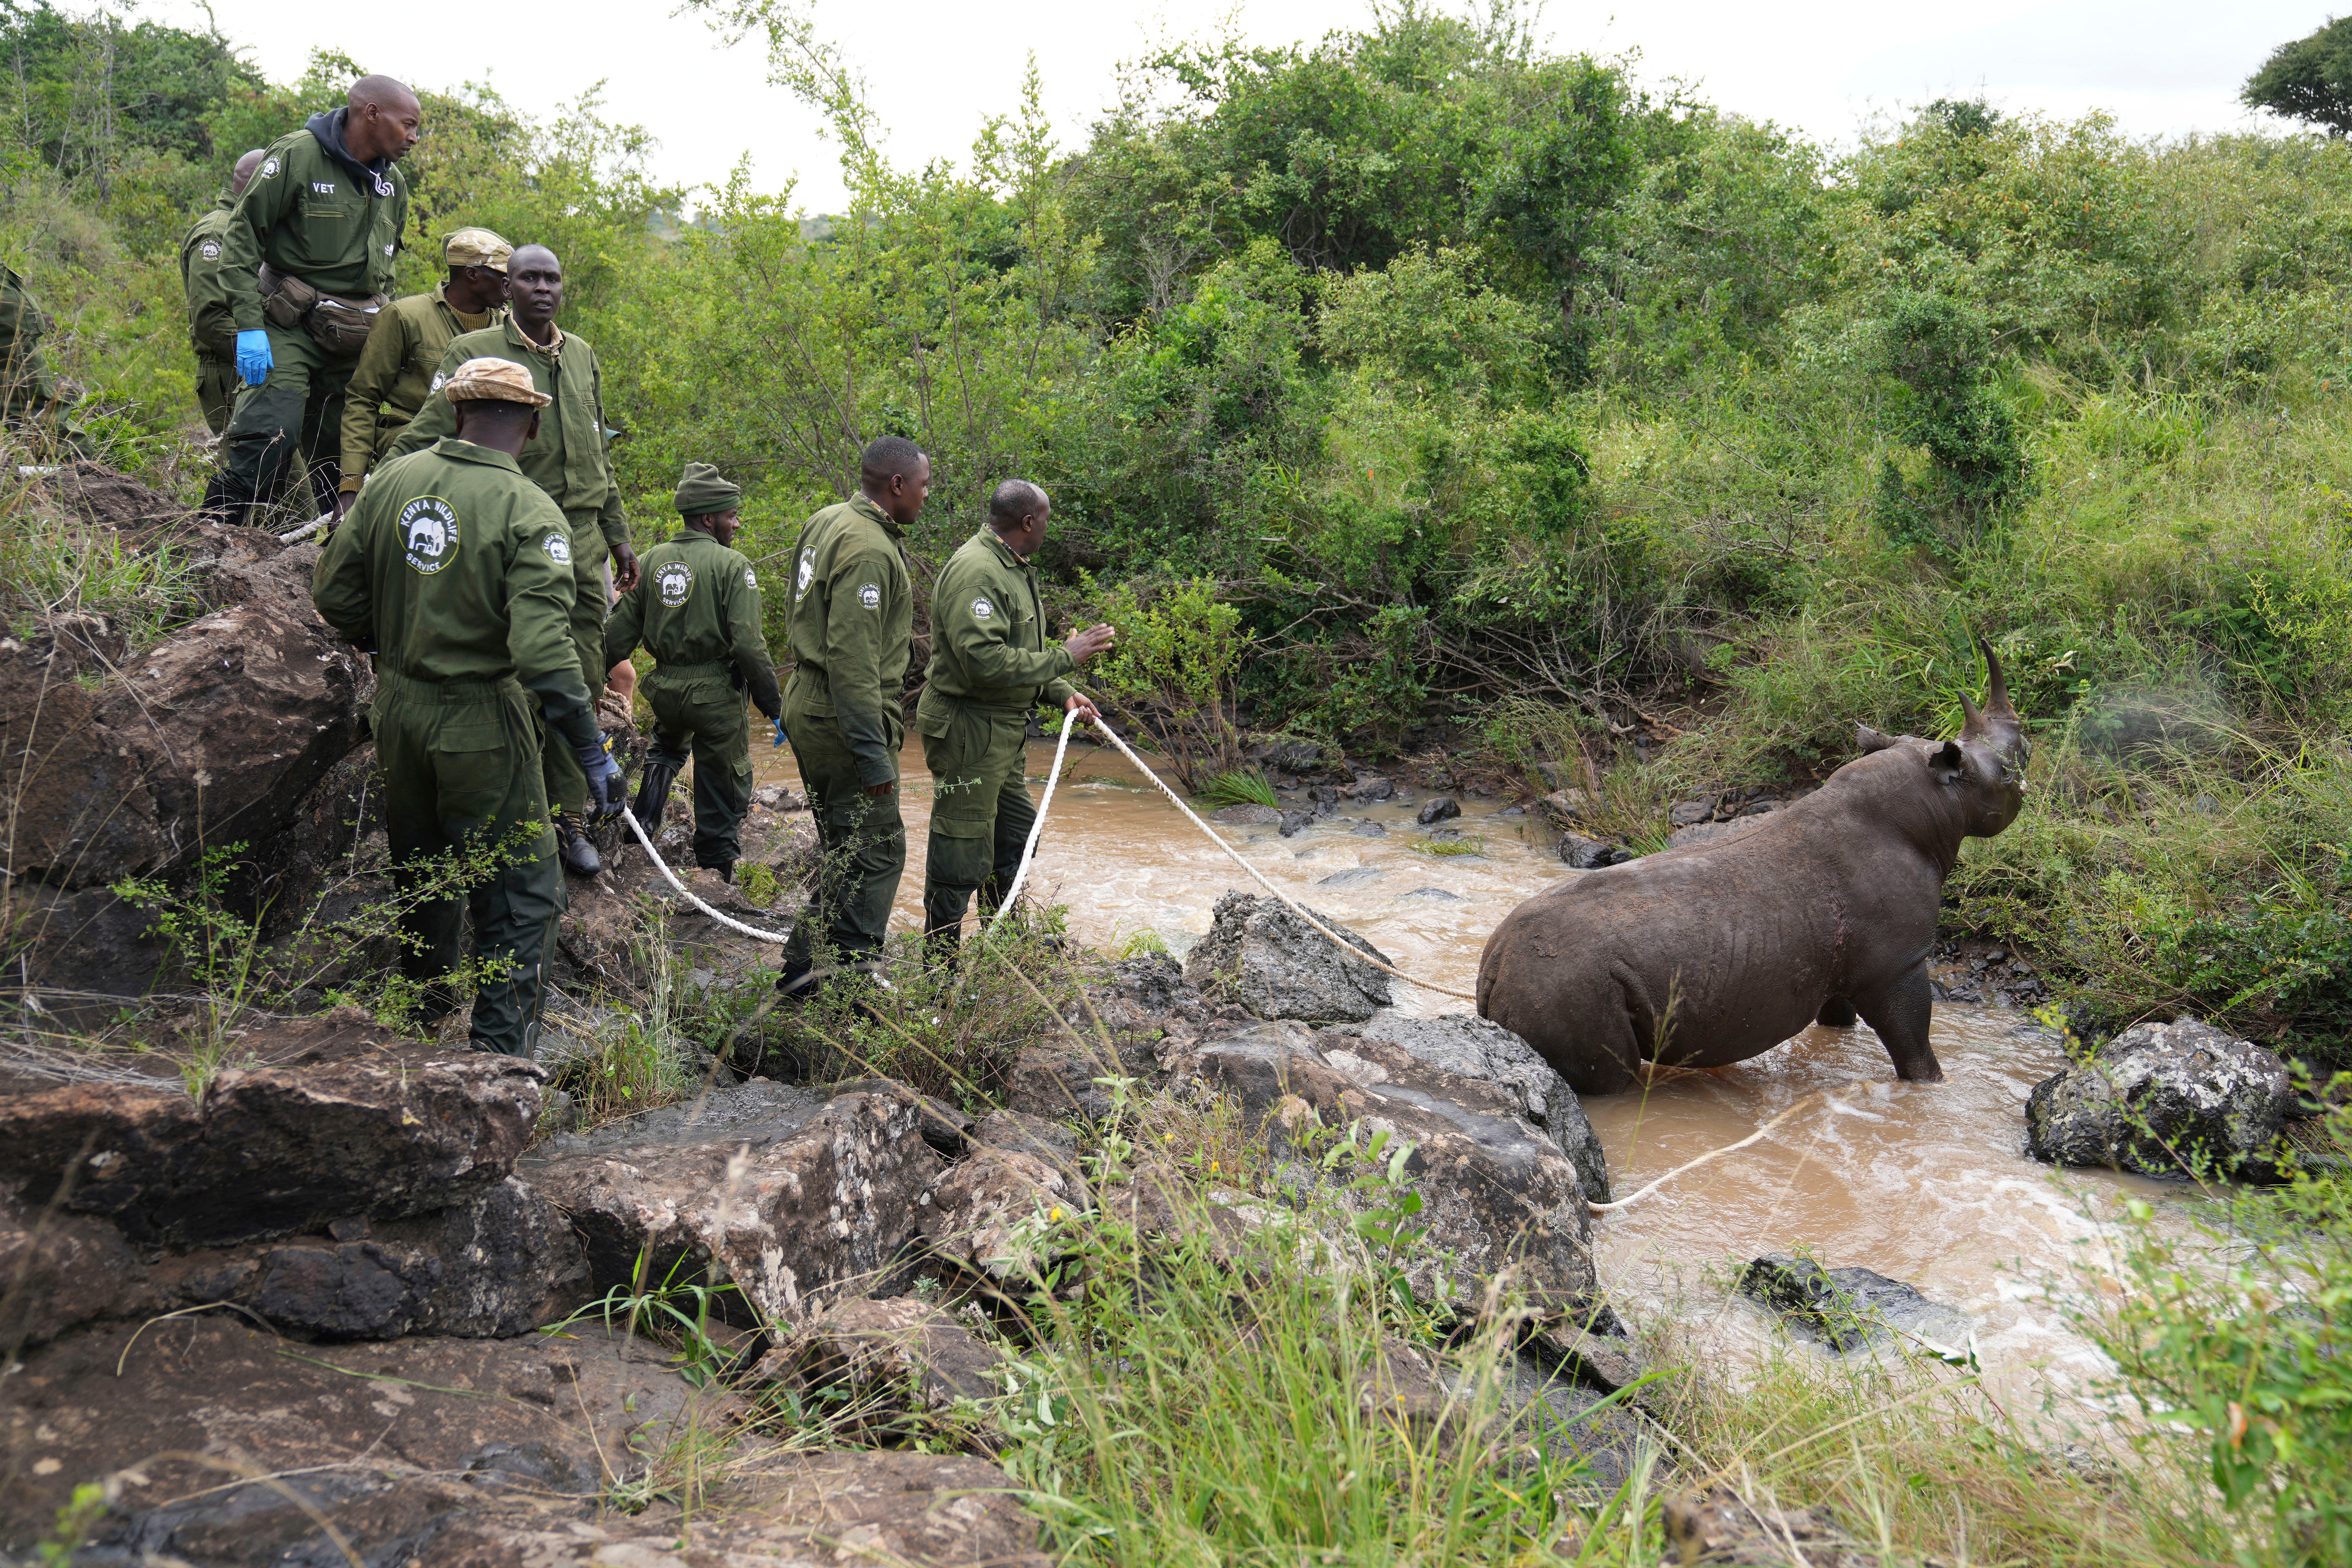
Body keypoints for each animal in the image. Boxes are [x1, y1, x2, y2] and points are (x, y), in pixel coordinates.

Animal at [1478, 644, 2029, 1095]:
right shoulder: (1899, 963)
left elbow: (1838, 1021)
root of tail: (1494, 967)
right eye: (2008, 773)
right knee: (1612, 1082)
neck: (1936, 800)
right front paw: (1938, 1091)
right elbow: (1915, 1050)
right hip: (1569, 986)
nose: (2029, 769)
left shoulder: (1842, 961)